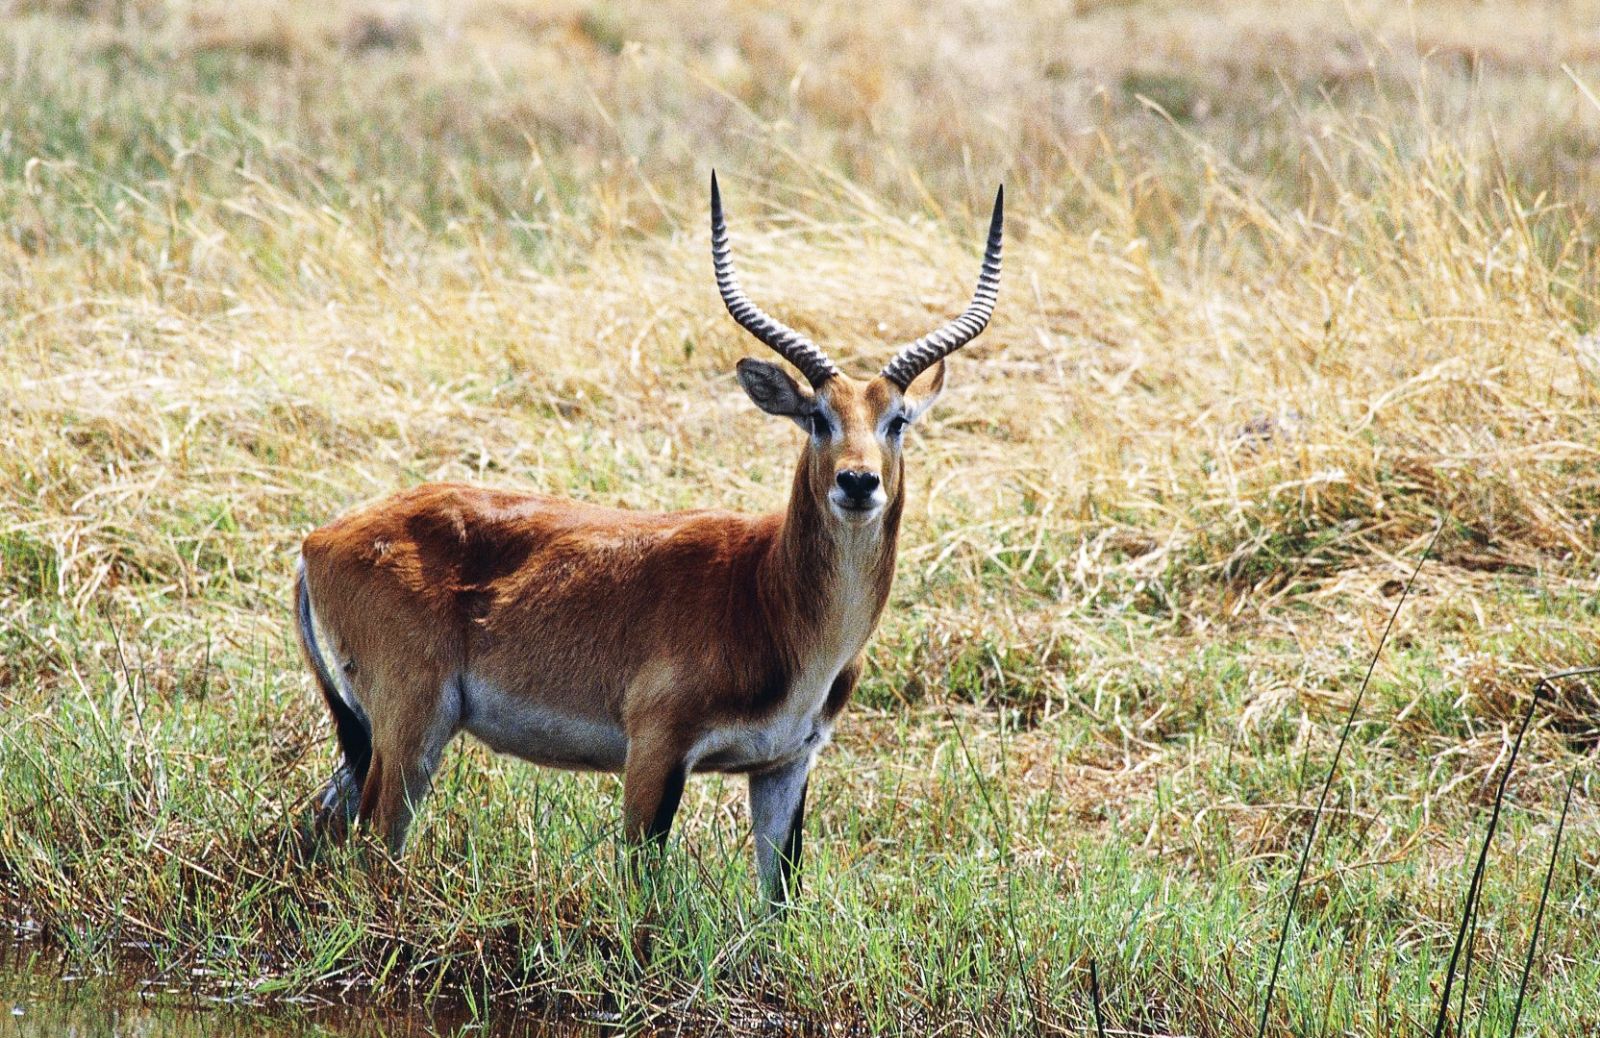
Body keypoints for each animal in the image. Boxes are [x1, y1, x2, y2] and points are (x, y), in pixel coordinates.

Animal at [296, 174, 998, 902]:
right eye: (816, 417)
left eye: (897, 420)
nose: (857, 482)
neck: (769, 594)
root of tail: (319, 540)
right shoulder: (656, 748)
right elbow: (642, 896)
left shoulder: (784, 765)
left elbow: (778, 899)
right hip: (413, 725)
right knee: (375, 844)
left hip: (374, 735)